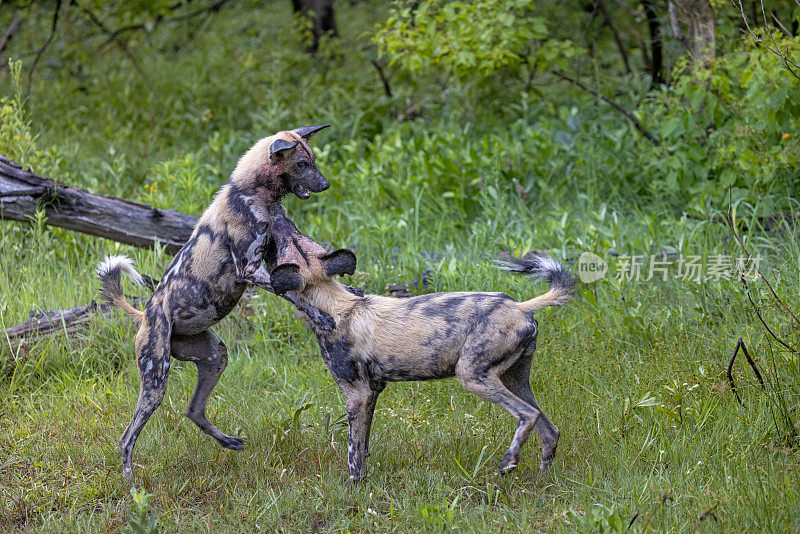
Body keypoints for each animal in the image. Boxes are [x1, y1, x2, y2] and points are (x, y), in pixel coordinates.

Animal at [97, 126, 334, 486]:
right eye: (303, 164)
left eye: (313, 160)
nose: (325, 184)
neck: (253, 193)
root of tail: (145, 316)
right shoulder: (251, 270)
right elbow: (297, 294)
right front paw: (322, 314)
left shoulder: (271, 259)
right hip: (155, 381)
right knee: (126, 439)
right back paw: (132, 486)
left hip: (214, 356)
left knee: (193, 410)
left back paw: (227, 441)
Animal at [266, 216, 580, 484]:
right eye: (297, 236)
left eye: (284, 244)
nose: (278, 219)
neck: (335, 306)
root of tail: (520, 307)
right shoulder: (373, 391)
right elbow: (364, 444)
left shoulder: (357, 393)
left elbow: (354, 452)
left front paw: (355, 487)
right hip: (513, 378)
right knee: (549, 429)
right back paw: (543, 479)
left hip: (472, 376)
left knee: (527, 415)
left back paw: (508, 463)